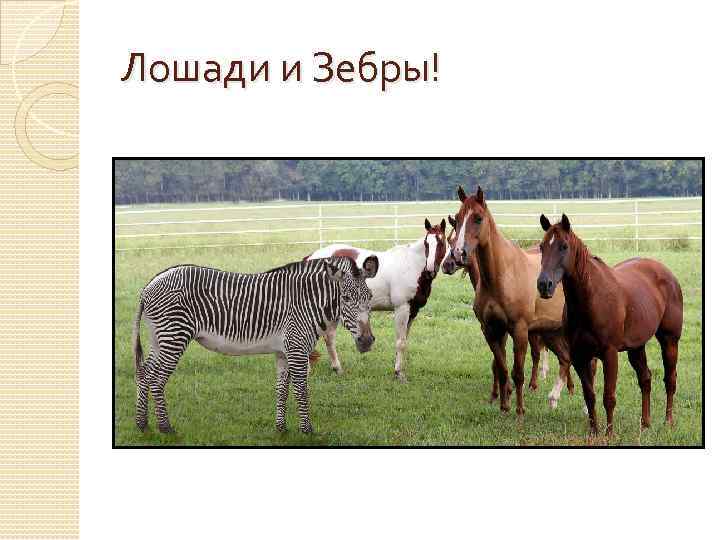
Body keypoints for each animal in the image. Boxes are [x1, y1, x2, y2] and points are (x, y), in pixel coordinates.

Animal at [306, 218, 448, 381]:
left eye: (441, 242)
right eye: (426, 243)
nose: (430, 269)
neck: (411, 264)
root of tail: (311, 258)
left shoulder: (412, 312)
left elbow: (404, 341)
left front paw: (398, 368)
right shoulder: (402, 309)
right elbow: (400, 343)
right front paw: (399, 374)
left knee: (328, 337)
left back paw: (337, 369)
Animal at [449, 186, 575, 415]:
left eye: (478, 218)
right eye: (458, 218)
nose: (458, 253)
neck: (500, 276)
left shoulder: (519, 330)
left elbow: (518, 372)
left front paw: (520, 410)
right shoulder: (491, 330)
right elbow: (501, 368)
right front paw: (504, 405)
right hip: (552, 331)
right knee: (566, 358)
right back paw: (555, 398)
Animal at [537, 213, 683, 435]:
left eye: (563, 246)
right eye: (542, 246)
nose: (544, 285)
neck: (590, 299)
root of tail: (667, 273)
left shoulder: (610, 353)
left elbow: (609, 397)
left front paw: (609, 433)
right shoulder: (579, 356)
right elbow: (590, 396)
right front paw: (594, 432)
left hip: (669, 341)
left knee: (670, 379)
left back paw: (668, 421)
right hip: (636, 347)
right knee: (646, 379)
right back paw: (645, 423)